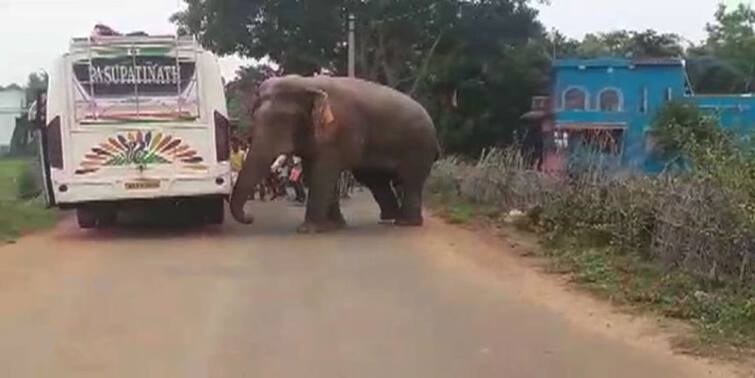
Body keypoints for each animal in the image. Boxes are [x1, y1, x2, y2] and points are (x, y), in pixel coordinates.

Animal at [229, 75, 438, 232]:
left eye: (281, 121)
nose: (250, 217)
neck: (307, 82)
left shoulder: (338, 131)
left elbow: (323, 173)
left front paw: (308, 229)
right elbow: (313, 172)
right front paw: (334, 225)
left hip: (418, 147)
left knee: (409, 180)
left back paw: (405, 223)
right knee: (374, 179)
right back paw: (389, 219)